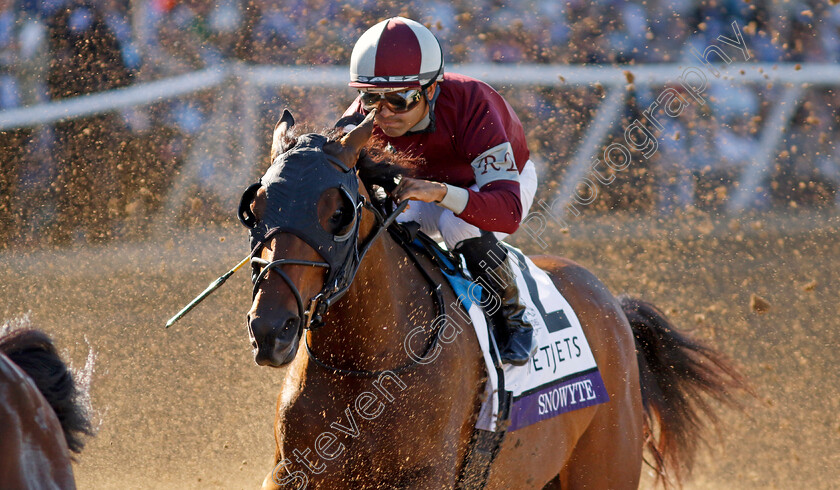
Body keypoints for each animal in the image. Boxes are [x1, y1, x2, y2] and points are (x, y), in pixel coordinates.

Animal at [241, 109, 740, 488]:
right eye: (255, 208)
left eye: (338, 212)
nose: (271, 329)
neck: (366, 363)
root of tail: (614, 305)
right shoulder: (294, 471)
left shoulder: (424, 476)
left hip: (605, 466)